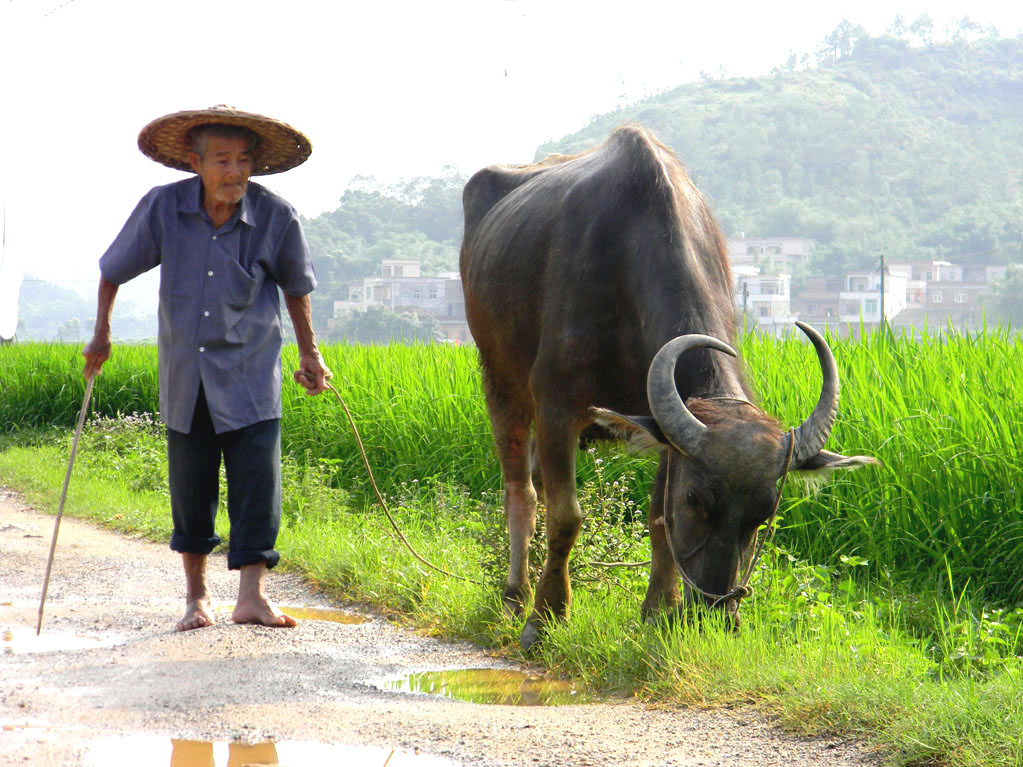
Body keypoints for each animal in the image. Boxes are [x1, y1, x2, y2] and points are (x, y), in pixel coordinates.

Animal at [460, 124, 875, 650]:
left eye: (763, 515)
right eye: (697, 499)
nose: (717, 614)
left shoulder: (662, 428)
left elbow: (659, 520)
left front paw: (657, 612)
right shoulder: (557, 407)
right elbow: (565, 517)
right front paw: (547, 616)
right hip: (500, 382)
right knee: (522, 492)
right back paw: (516, 596)